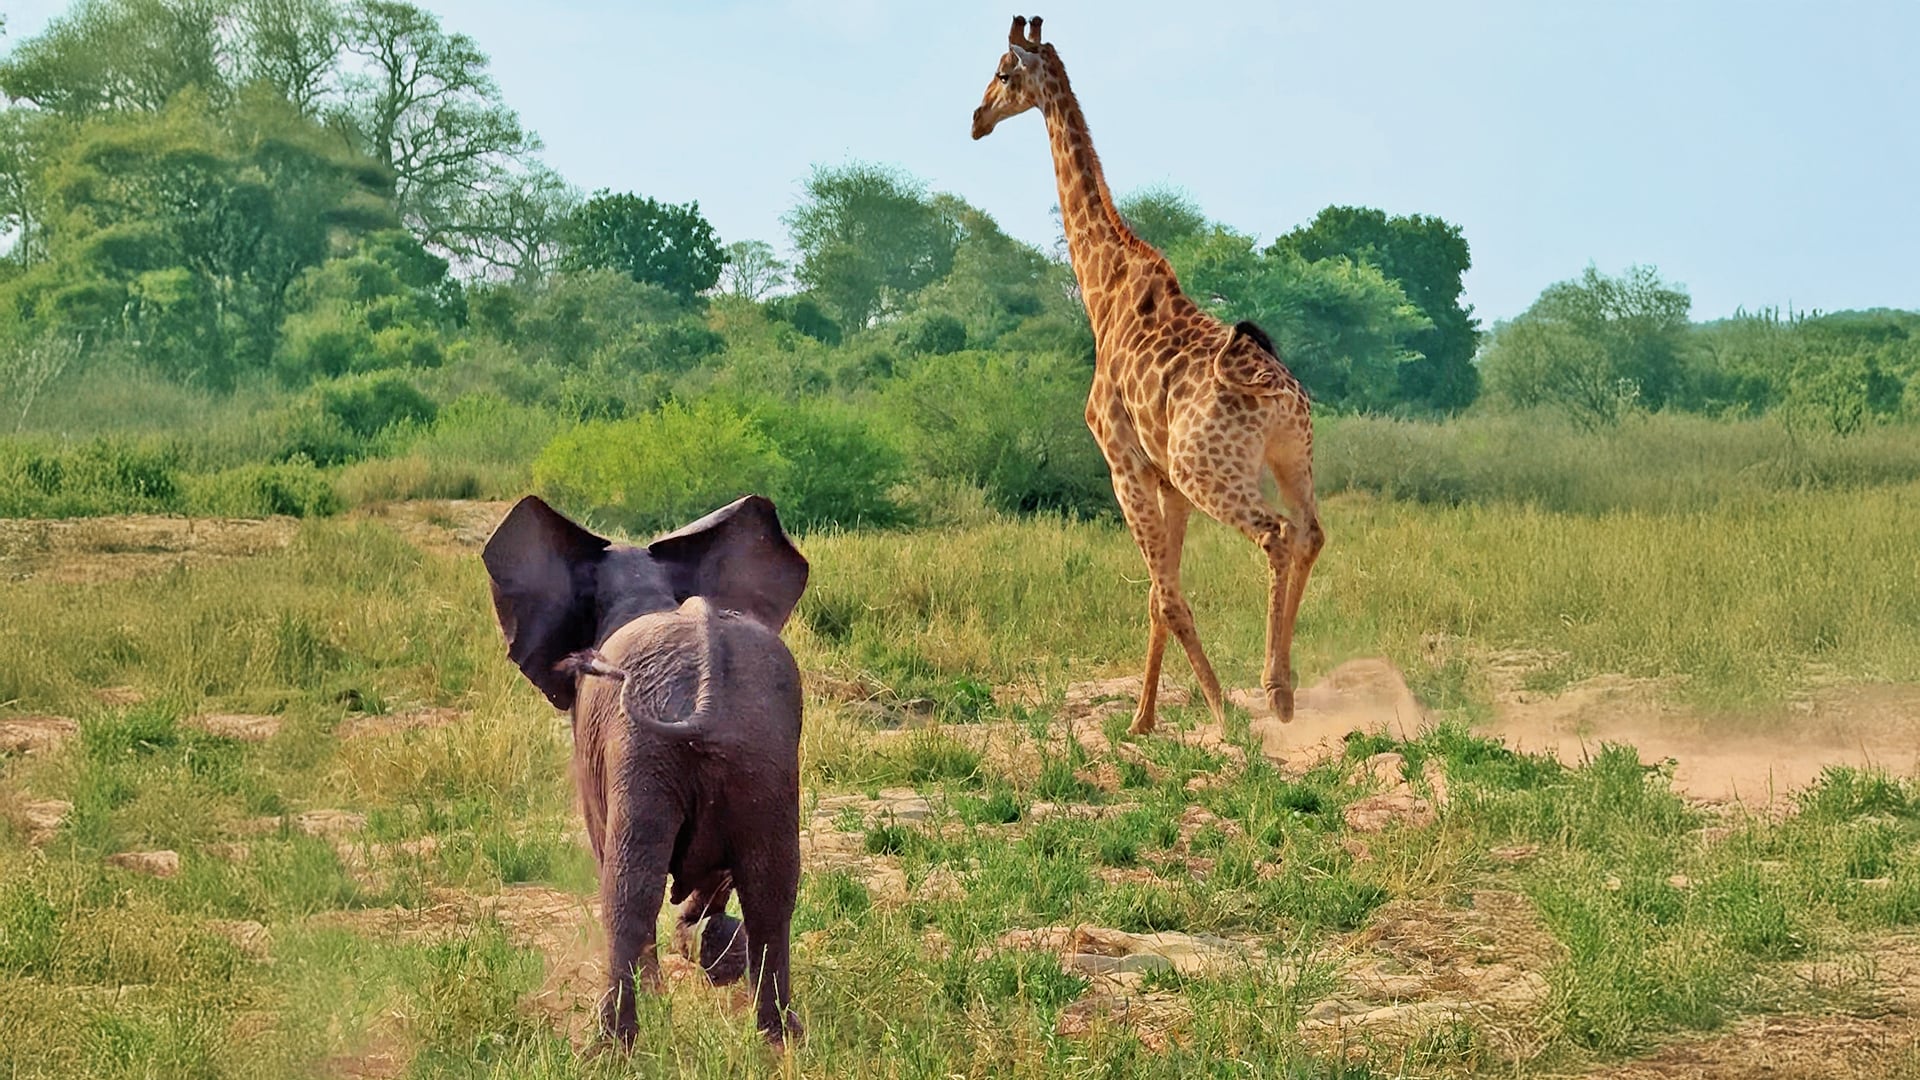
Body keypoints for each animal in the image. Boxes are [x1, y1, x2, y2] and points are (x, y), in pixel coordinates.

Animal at [480, 493, 809, 1046]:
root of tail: (707, 681)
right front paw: (708, 945)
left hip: (644, 749)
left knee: (628, 888)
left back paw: (613, 1045)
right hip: (761, 749)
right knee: (771, 890)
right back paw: (780, 1040)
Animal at [972, 15, 1324, 734]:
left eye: (1001, 71)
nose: (976, 119)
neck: (1101, 290)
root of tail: (1279, 394)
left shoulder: (1123, 462)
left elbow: (1165, 596)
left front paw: (1216, 712)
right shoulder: (1164, 480)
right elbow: (1160, 595)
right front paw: (1140, 720)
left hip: (1208, 469)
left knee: (1275, 536)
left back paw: (1267, 693)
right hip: (1288, 457)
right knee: (1310, 533)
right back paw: (1286, 689)